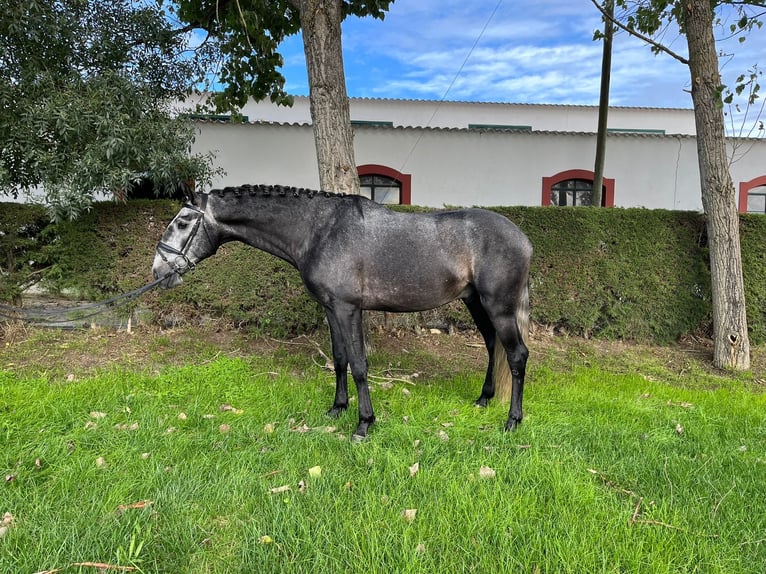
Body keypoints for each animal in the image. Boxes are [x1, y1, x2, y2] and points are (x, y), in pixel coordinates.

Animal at [152, 184, 532, 440]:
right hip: (475, 302)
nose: (159, 270)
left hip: (498, 306)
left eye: (183, 223)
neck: (320, 230)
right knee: (492, 345)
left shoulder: (349, 309)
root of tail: (524, 238)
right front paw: (337, 408)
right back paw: (483, 399)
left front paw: (364, 424)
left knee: (516, 355)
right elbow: (339, 359)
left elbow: (360, 366)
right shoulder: (331, 309)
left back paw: (512, 421)